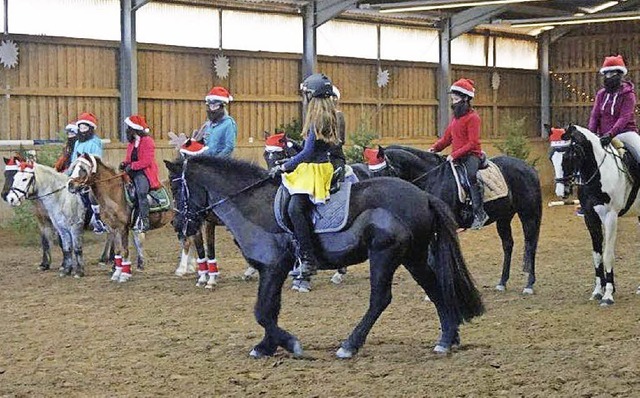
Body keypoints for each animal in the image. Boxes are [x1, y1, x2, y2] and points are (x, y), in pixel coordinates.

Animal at [67, 153, 172, 282]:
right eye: (73, 166)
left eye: (82, 169)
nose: (70, 185)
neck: (114, 194)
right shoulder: (112, 227)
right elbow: (118, 250)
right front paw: (117, 273)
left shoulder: (123, 227)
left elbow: (125, 250)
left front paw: (124, 275)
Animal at [165, 157, 484, 360]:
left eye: (178, 187)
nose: (179, 225)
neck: (255, 206)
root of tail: (422, 196)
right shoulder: (273, 271)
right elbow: (270, 310)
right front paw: (267, 346)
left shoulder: (273, 267)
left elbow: (263, 312)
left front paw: (289, 344)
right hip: (413, 257)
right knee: (435, 288)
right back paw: (447, 339)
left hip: (385, 254)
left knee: (380, 299)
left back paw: (349, 345)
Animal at [370, 146, 540, 296]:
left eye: (384, 172)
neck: (433, 178)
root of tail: (528, 167)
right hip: (504, 217)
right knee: (508, 245)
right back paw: (502, 283)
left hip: (529, 215)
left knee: (531, 245)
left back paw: (529, 285)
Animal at [548, 124, 640, 304]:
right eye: (551, 157)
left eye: (569, 156)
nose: (562, 192)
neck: (598, 173)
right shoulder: (590, 217)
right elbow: (597, 255)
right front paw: (598, 291)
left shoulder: (610, 217)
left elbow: (608, 255)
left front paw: (608, 295)